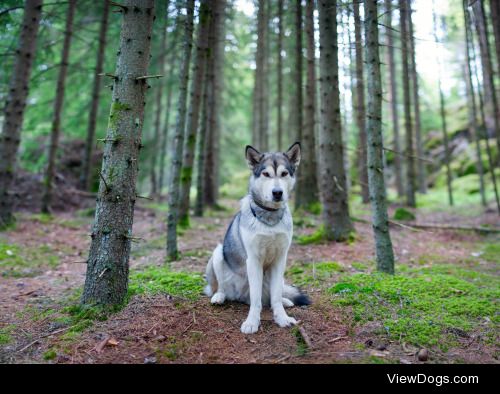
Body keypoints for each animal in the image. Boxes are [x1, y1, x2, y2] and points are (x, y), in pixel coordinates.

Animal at [203, 142, 308, 332]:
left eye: (284, 173)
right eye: (266, 174)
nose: (277, 192)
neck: (270, 218)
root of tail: (239, 296)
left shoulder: (280, 259)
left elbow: (275, 296)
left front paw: (282, 318)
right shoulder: (253, 260)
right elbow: (256, 300)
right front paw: (252, 323)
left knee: (272, 296)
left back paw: (285, 301)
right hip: (218, 253)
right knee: (220, 288)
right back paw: (219, 297)